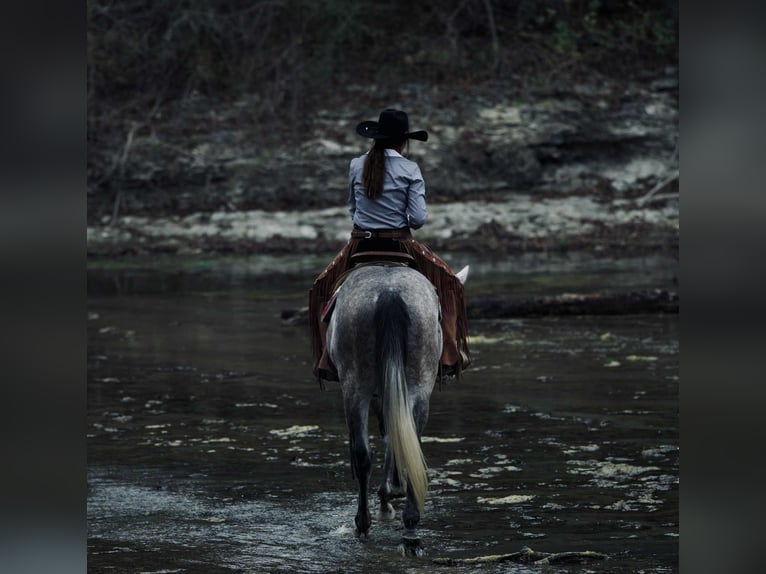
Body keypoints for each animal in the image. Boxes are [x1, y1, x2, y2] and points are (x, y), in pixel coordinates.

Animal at [326, 262, 468, 551]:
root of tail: (389, 293)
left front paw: (387, 496)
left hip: (355, 385)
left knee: (363, 453)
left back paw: (365, 523)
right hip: (418, 384)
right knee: (409, 438)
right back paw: (410, 524)